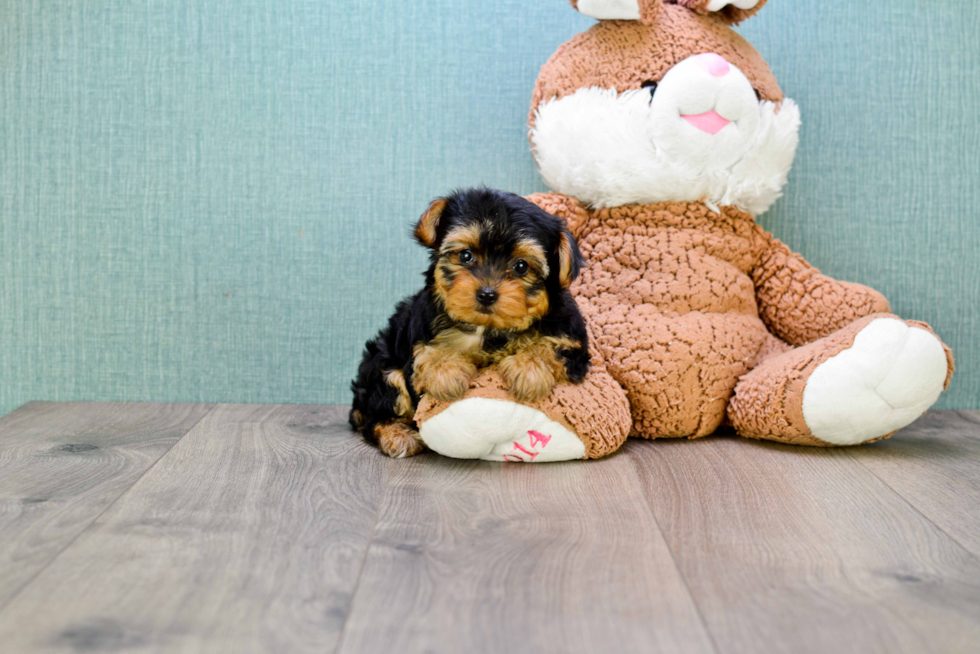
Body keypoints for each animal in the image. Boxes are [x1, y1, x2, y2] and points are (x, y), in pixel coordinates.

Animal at [352, 187, 588, 458]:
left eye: (521, 266)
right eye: (466, 255)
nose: (486, 294)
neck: (490, 328)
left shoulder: (572, 343)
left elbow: (550, 347)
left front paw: (528, 369)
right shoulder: (421, 332)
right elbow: (427, 354)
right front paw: (446, 373)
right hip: (381, 367)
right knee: (377, 408)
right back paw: (397, 435)